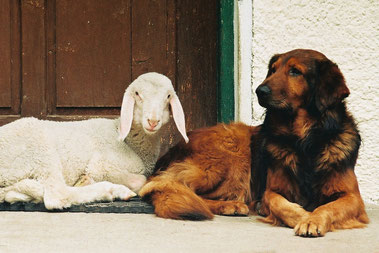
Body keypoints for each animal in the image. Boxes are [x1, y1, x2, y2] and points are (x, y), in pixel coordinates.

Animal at [0, 72, 189, 210]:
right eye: (137, 94)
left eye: (168, 96)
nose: (153, 121)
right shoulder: (102, 165)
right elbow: (141, 180)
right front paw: (90, 180)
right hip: (40, 150)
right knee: (57, 196)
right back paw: (110, 190)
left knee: (15, 192)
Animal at [256, 48, 370, 236]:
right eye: (273, 70)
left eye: (295, 71)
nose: (259, 91)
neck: (305, 141)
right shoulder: (270, 192)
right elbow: (282, 205)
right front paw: (304, 217)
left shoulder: (352, 197)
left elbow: (327, 207)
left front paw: (312, 219)